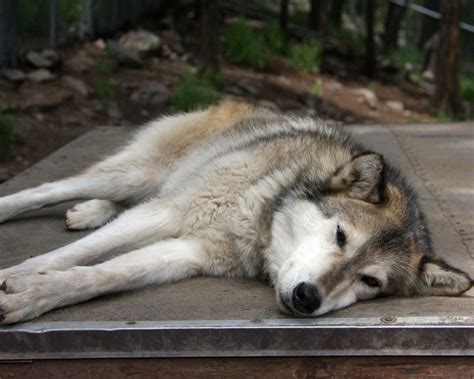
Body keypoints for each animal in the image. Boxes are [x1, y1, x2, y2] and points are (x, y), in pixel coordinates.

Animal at [0, 101, 470, 326]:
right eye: (340, 236)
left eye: (370, 282)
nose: (307, 298)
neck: (260, 221)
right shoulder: (169, 214)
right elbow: (67, 257)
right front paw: (21, 279)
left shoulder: (186, 253)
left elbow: (98, 276)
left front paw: (35, 293)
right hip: (137, 174)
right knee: (50, 188)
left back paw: (90, 212)